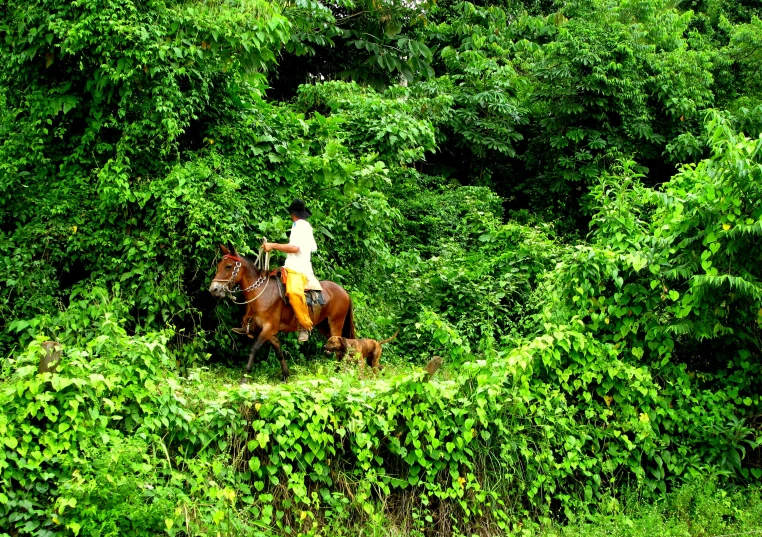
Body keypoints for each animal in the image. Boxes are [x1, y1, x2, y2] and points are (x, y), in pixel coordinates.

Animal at [209, 245, 354, 378]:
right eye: (219, 265)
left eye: (228, 266)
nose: (213, 289)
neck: (262, 293)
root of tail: (344, 292)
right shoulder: (270, 331)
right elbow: (278, 351)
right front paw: (285, 375)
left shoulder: (269, 327)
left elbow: (254, 348)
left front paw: (245, 377)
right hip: (323, 325)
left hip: (335, 322)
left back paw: (337, 373)